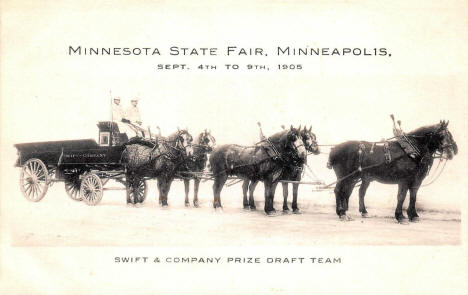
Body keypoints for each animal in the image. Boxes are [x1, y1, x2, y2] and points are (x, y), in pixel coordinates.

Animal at [330, 121, 458, 223]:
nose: (453, 151)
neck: (411, 151)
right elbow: (401, 196)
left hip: (356, 178)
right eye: (442, 135)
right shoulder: (404, 180)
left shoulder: (416, 181)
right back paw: (342, 213)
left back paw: (358, 212)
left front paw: (413, 215)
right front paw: (400, 216)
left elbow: (413, 196)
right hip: (344, 176)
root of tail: (334, 149)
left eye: (449, 134)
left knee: (353, 192)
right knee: (338, 191)